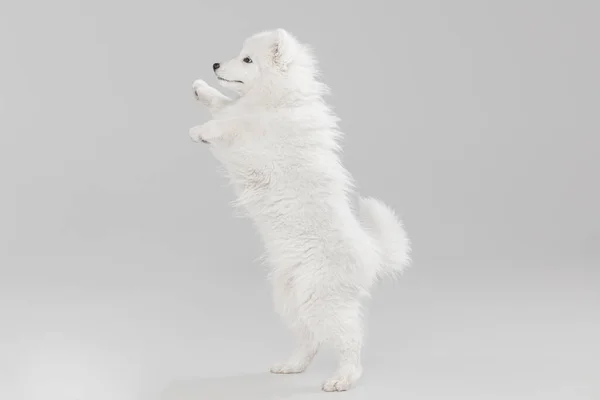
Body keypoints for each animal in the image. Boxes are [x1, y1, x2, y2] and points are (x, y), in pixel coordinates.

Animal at [190, 29, 410, 392]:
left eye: (248, 60)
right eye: (239, 55)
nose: (215, 65)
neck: (277, 99)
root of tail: (371, 253)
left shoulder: (255, 146)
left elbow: (232, 123)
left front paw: (202, 131)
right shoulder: (245, 115)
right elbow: (227, 107)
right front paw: (202, 90)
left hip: (322, 300)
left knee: (350, 340)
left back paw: (342, 379)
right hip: (289, 297)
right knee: (310, 339)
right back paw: (291, 365)